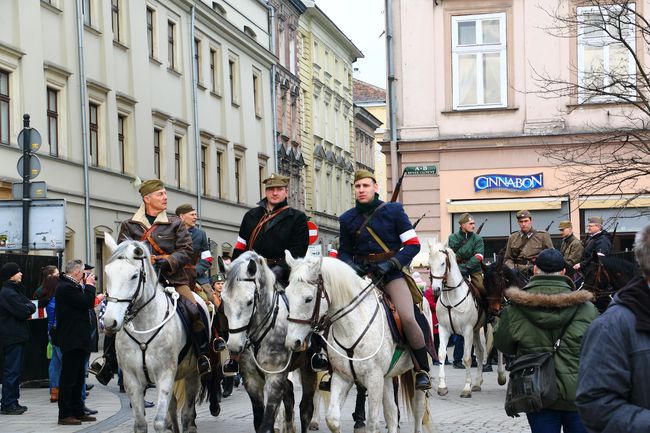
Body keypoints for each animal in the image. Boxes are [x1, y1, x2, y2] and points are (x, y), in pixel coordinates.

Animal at [103, 235, 210, 430]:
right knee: (174, 407)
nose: (109, 321)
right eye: (108, 273)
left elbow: (159, 422)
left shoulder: (165, 375)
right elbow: (140, 423)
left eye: (134, 275)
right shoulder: (132, 380)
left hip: (193, 374)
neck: (143, 327)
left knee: (186, 414)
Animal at [284, 250, 430, 432]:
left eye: (308, 299)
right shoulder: (342, 376)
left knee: (418, 408)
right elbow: (332, 419)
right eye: (287, 294)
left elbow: (373, 423)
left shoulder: (374, 379)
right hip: (387, 376)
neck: (352, 326)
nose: (292, 342)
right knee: (391, 411)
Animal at [428, 240, 484, 398]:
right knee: (480, 352)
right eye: (429, 264)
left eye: (443, 263)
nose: (435, 289)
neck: (452, 296)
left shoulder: (467, 330)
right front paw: (442, 386)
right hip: (476, 331)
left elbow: (467, 358)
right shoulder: (443, 329)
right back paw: (477, 383)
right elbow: (441, 355)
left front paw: (466, 388)